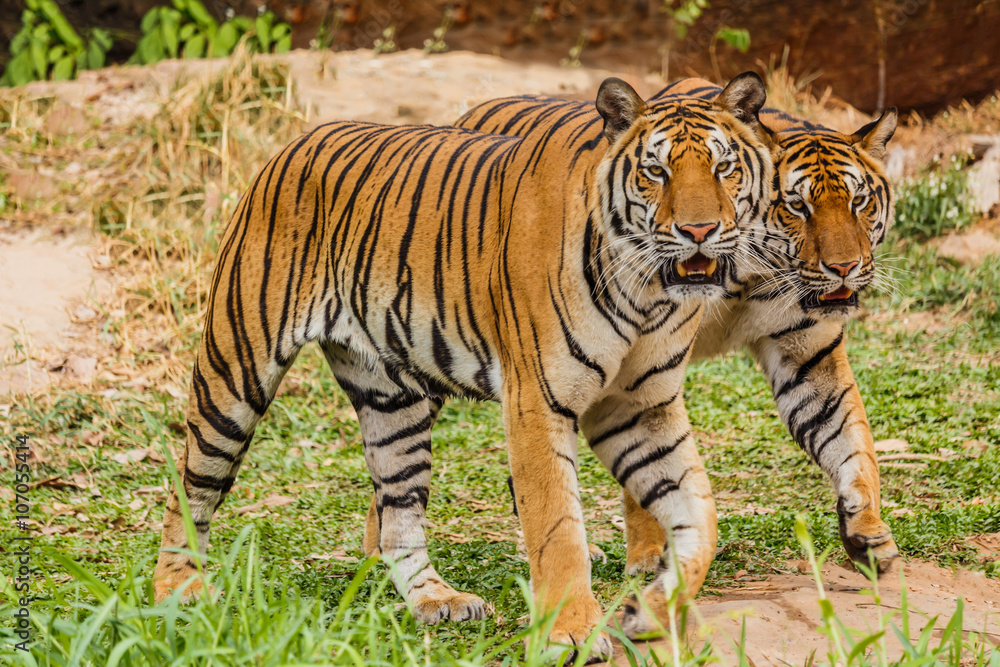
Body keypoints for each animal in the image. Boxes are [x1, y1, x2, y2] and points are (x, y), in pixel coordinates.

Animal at [152, 72, 772, 656]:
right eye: (656, 172)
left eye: (723, 169)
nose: (699, 231)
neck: (648, 292)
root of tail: (295, 142)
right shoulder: (538, 399)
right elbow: (557, 525)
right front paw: (571, 632)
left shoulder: (639, 405)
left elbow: (701, 517)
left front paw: (651, 606)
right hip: (235, 371)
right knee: (191, 484)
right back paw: (178, 591)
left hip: (394, 401)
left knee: (398, 514)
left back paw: (436, 600)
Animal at [452, 77, 900, 628]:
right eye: (797, 207)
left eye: (859, 202)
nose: (845, 268)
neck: (756, 273)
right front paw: (650, 556)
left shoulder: (807, 351)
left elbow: (851, 437)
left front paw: (868, 532)